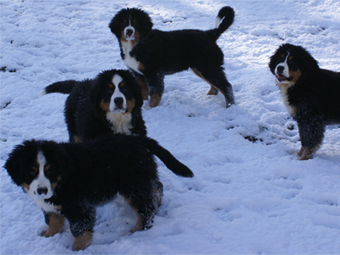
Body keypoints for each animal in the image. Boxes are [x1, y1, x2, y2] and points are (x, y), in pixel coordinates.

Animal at [4, 134, 194, 250]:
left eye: (49, 171)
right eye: (32, 171)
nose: (42, 190)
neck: (60, 182)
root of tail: (137, 139)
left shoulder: (80, 207)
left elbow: (80, 231)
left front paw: (77, 250)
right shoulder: (51, 205)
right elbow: (53, 221)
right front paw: (49, 236)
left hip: (133, 184)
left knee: (145, 209)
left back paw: (136, 231)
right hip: (141, 178)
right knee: (156, 188)